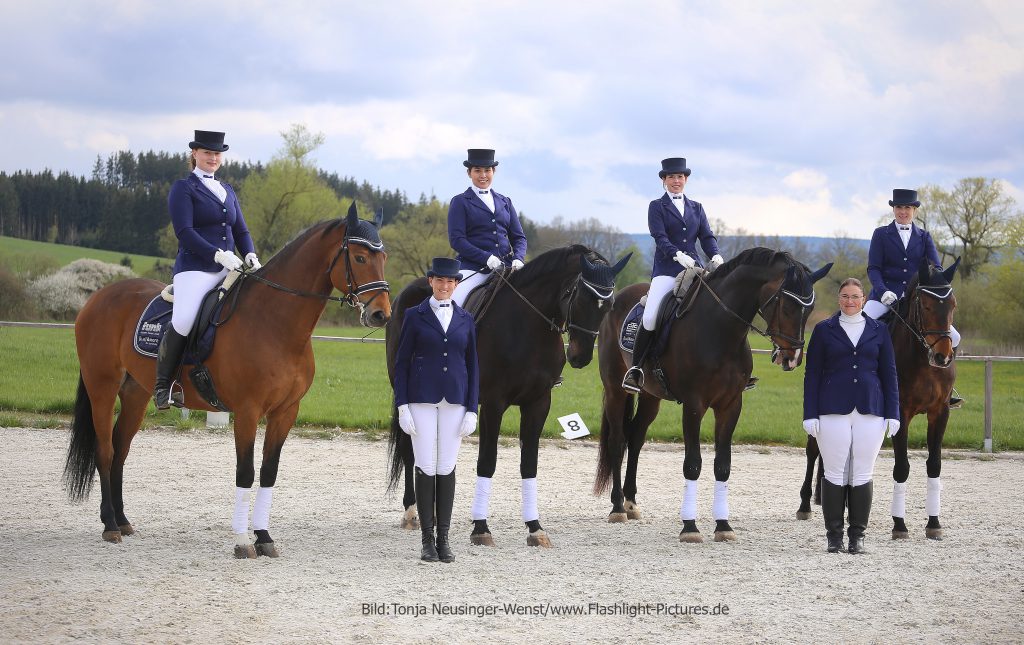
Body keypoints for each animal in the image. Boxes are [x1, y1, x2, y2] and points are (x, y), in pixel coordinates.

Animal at [62, 204, 391, 556]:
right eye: (360, 258)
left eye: (383, 257)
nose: (381, 314)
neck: (275, 322)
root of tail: (98, 297)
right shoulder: (247, 410)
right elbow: (245, 472)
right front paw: (243, 541)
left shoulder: (286, 411)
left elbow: (269, 471)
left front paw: (264, 536)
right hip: (102, 388)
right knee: (106, 450)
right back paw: (110, 525)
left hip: (136, 393)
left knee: (121, 450)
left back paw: (123, 520)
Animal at [385, 244, 626, 548]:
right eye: (580, 297)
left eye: (609, 304)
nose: (580, 357)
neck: (527, 327)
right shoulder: (492, 403)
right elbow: (487, 462)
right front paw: (481, 528)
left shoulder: (538, 403)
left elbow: (529, 464)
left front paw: (535, 528)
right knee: (409, 448)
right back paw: (411, 512)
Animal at [598, 249, 827, 544]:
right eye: (787, 305)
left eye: (809, 308)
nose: (792, 358)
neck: (721, 330)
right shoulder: (694, 405)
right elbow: (693, 464)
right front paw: (690, 527)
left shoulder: (730, 405)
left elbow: (723, 465)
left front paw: (723, 525)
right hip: (615, 389)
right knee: (617, 441)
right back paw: (617, 507)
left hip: (651, 396)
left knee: (635, 438)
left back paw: (631, 503)